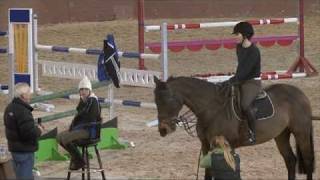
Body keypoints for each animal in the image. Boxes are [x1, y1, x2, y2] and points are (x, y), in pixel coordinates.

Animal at [153, 76, 318, 180]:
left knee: (308, 161)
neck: (211, 108)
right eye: (155, 101)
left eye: (168, 99)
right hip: (281, 135)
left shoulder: (226, 145)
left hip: (301, 132)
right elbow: (208, 173)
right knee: (290, 160)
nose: (163, 130)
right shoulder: (206, 145)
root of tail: (300, 93)